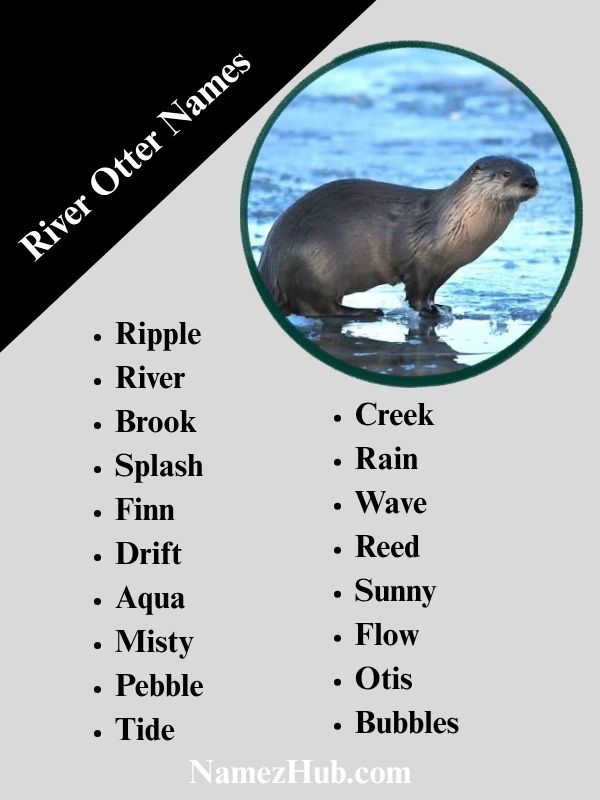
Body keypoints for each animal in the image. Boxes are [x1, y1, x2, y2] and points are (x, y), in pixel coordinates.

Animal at [258, 156, 538, 317]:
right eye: (505, 174)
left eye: (533, 171)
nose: (530, 183)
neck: (450, 223)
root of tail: (269, 266)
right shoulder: (421, 263)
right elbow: (416, 294)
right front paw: (430, 313)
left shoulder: (444, 268)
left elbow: (432, 292)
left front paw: (440, 306)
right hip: (314, 266)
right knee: (315, 307)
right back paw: (366, 311)